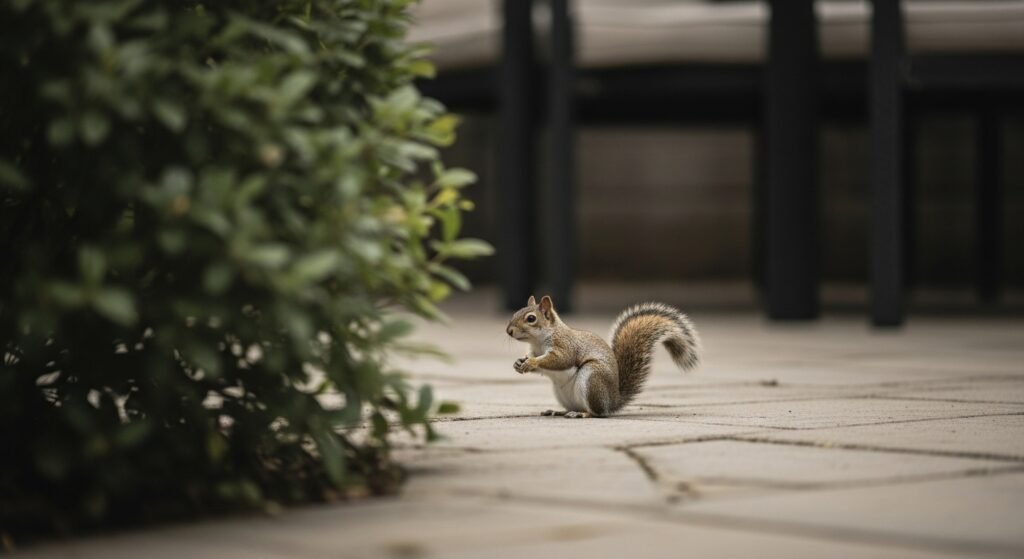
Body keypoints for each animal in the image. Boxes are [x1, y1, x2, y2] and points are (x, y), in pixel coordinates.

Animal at [506, 295, 701, 418]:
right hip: (564, 394)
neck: (538, 341)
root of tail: (613, 400)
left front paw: (530, 363)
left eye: (531, 318)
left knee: (597, 413)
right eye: (515, 312)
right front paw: (519, 363)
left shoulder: (565, 346)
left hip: (592, 377)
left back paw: (582, 413)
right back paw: (559, 411)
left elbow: (560, 360)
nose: (509, 331)